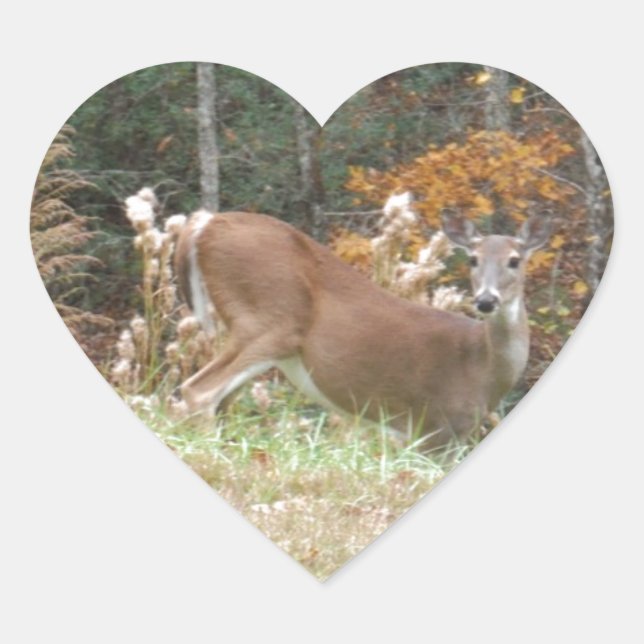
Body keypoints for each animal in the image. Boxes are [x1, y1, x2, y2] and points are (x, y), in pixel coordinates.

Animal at [173, 198, 551, 452]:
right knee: (199, 391)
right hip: (270, 320)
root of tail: (206, 224)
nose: (486, 300)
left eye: (514, 260)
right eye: (472, 259)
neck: (480, 365)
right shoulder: (435, 427)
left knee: (222, 399)